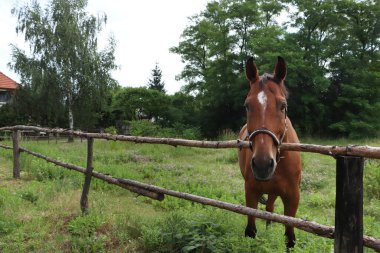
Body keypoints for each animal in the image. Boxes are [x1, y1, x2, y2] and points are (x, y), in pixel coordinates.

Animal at [239, 56, 302, 247]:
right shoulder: (251, 192)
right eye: (247, 106)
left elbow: (290, 238)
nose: (262, 164)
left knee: (270, 209)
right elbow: (251, 231)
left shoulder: (293, 197)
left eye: (283, 106)